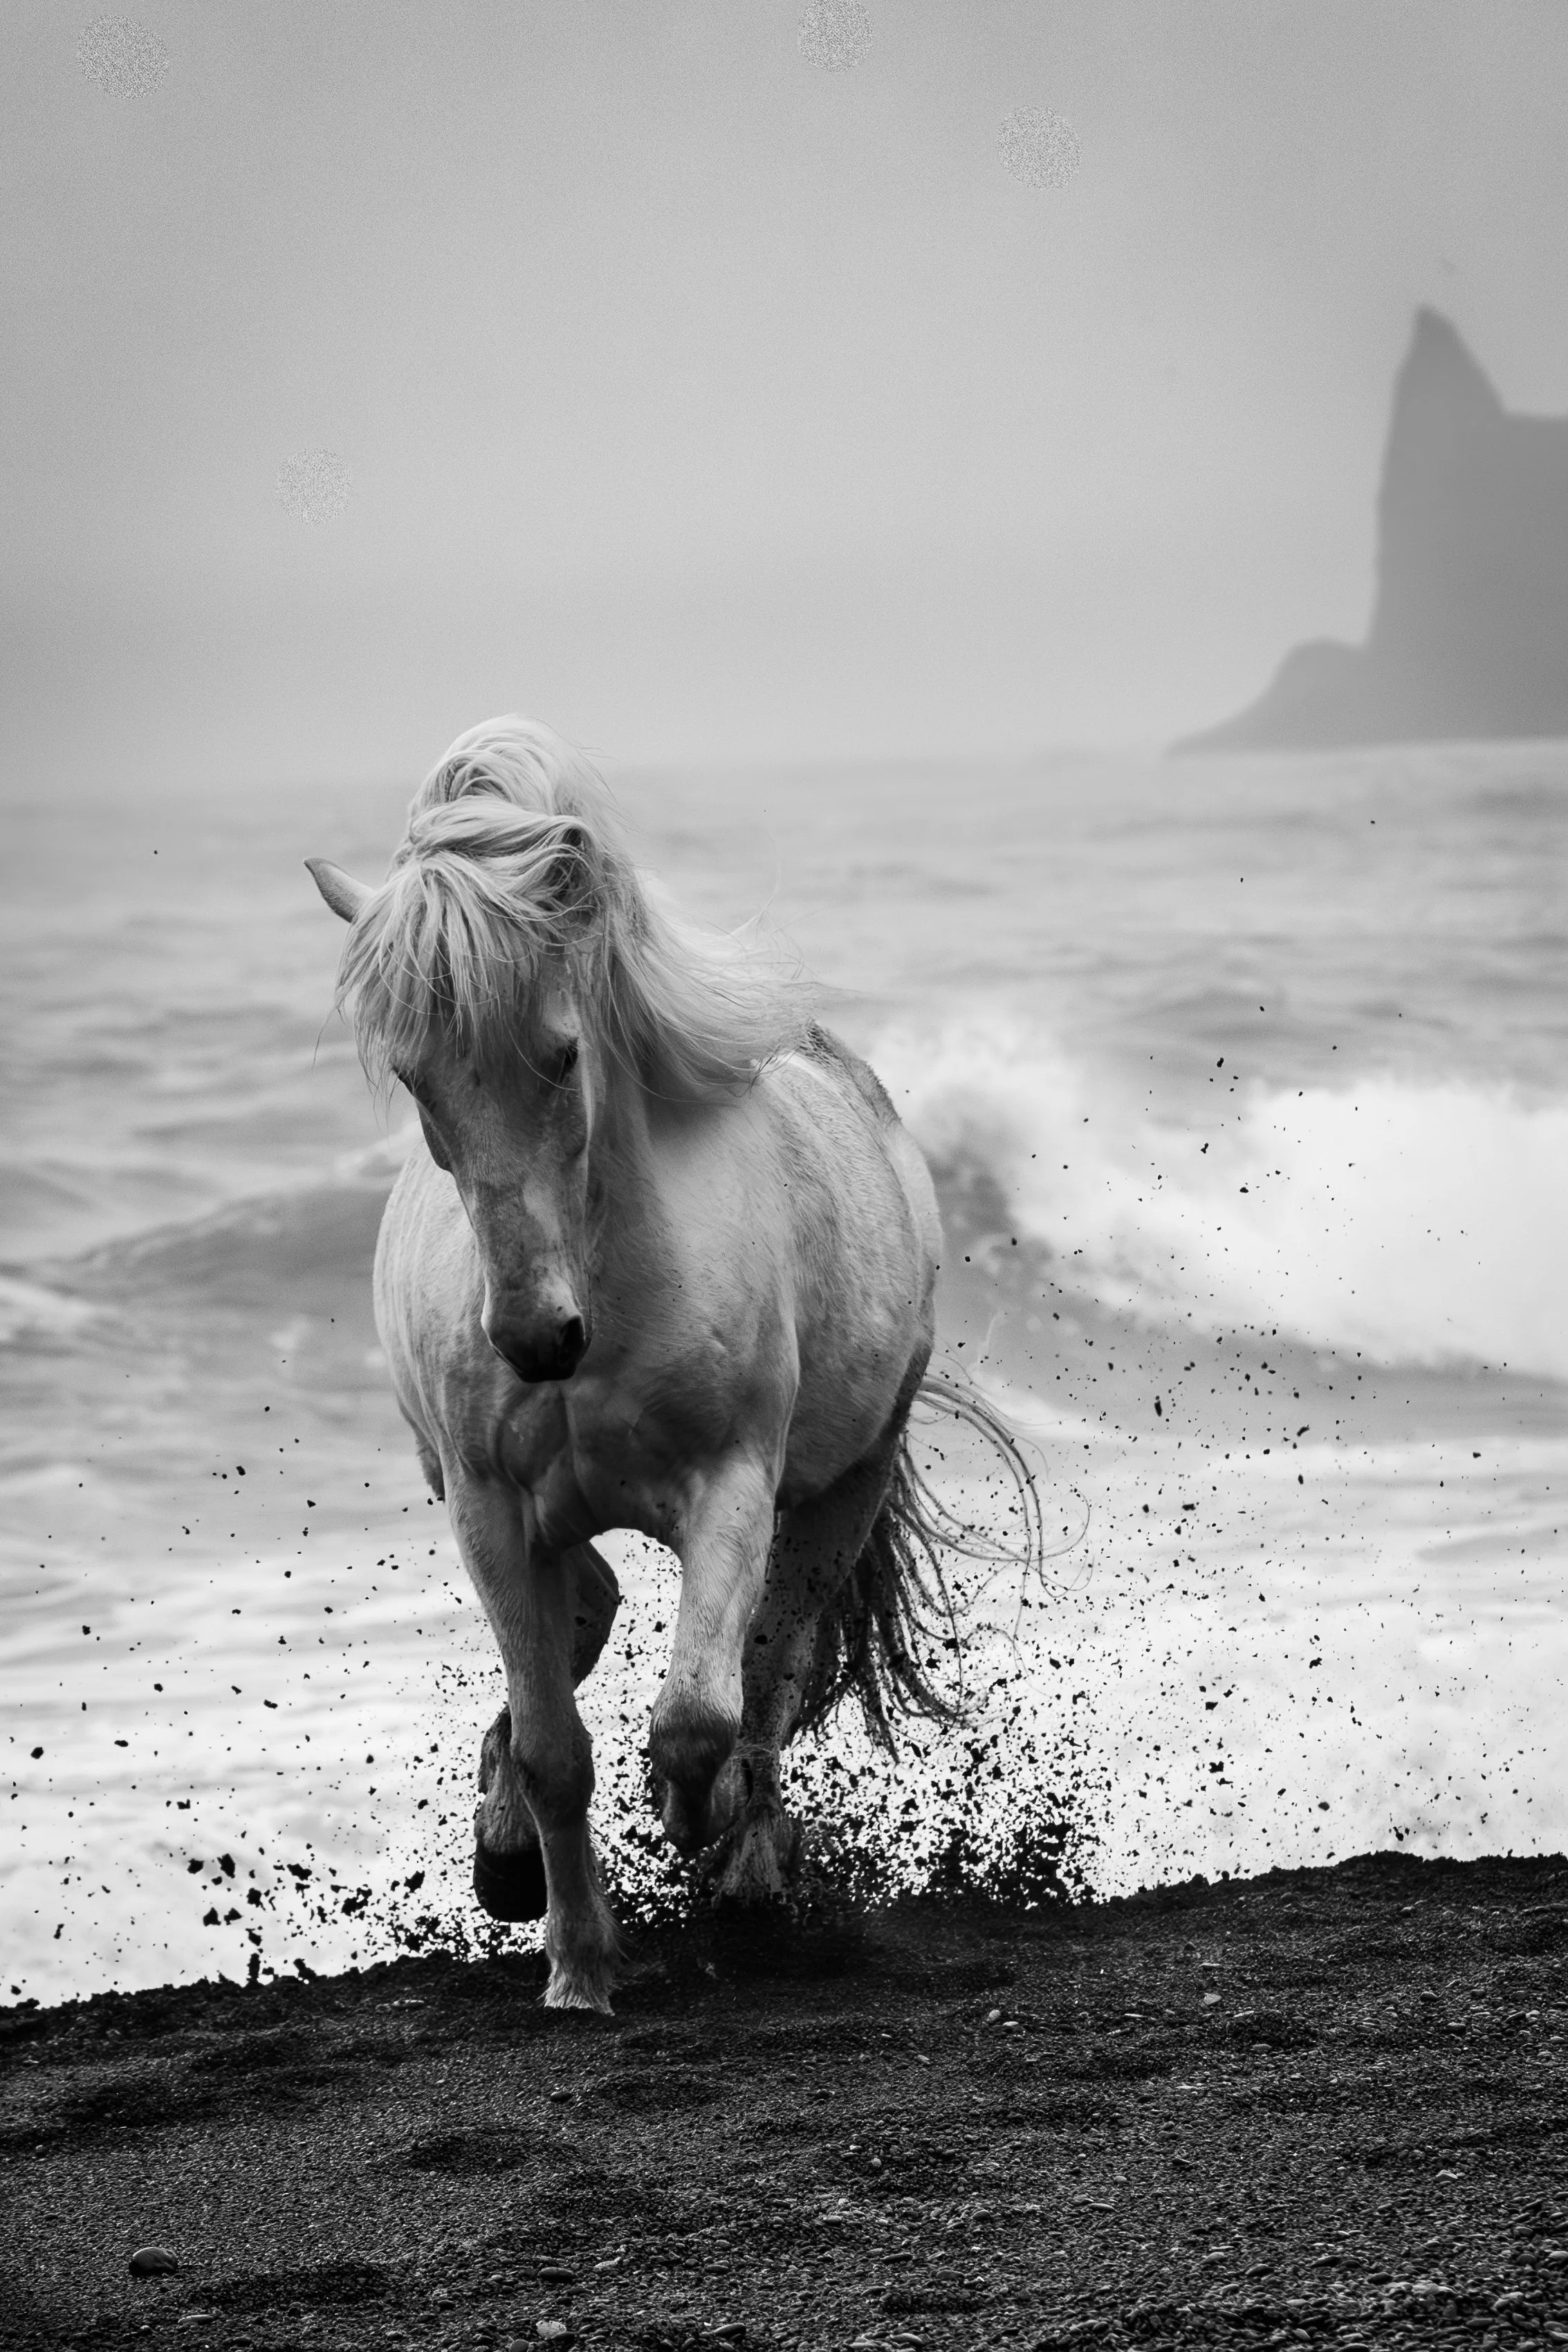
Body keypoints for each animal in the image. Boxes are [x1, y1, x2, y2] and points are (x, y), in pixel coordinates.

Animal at [308, 715, 1039, 2011]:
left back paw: (745, 1868)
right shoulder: (488, 1506)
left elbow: (702, 1712)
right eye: (412, 1075)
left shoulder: (732, 1487)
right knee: (588, 1617)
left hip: (840, 1492)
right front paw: (575, 1964)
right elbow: (555, 1750)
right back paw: (509, 1854)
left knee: (771, 1665)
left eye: (560, 1055)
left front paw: (696, 1816)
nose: (533, 1339)